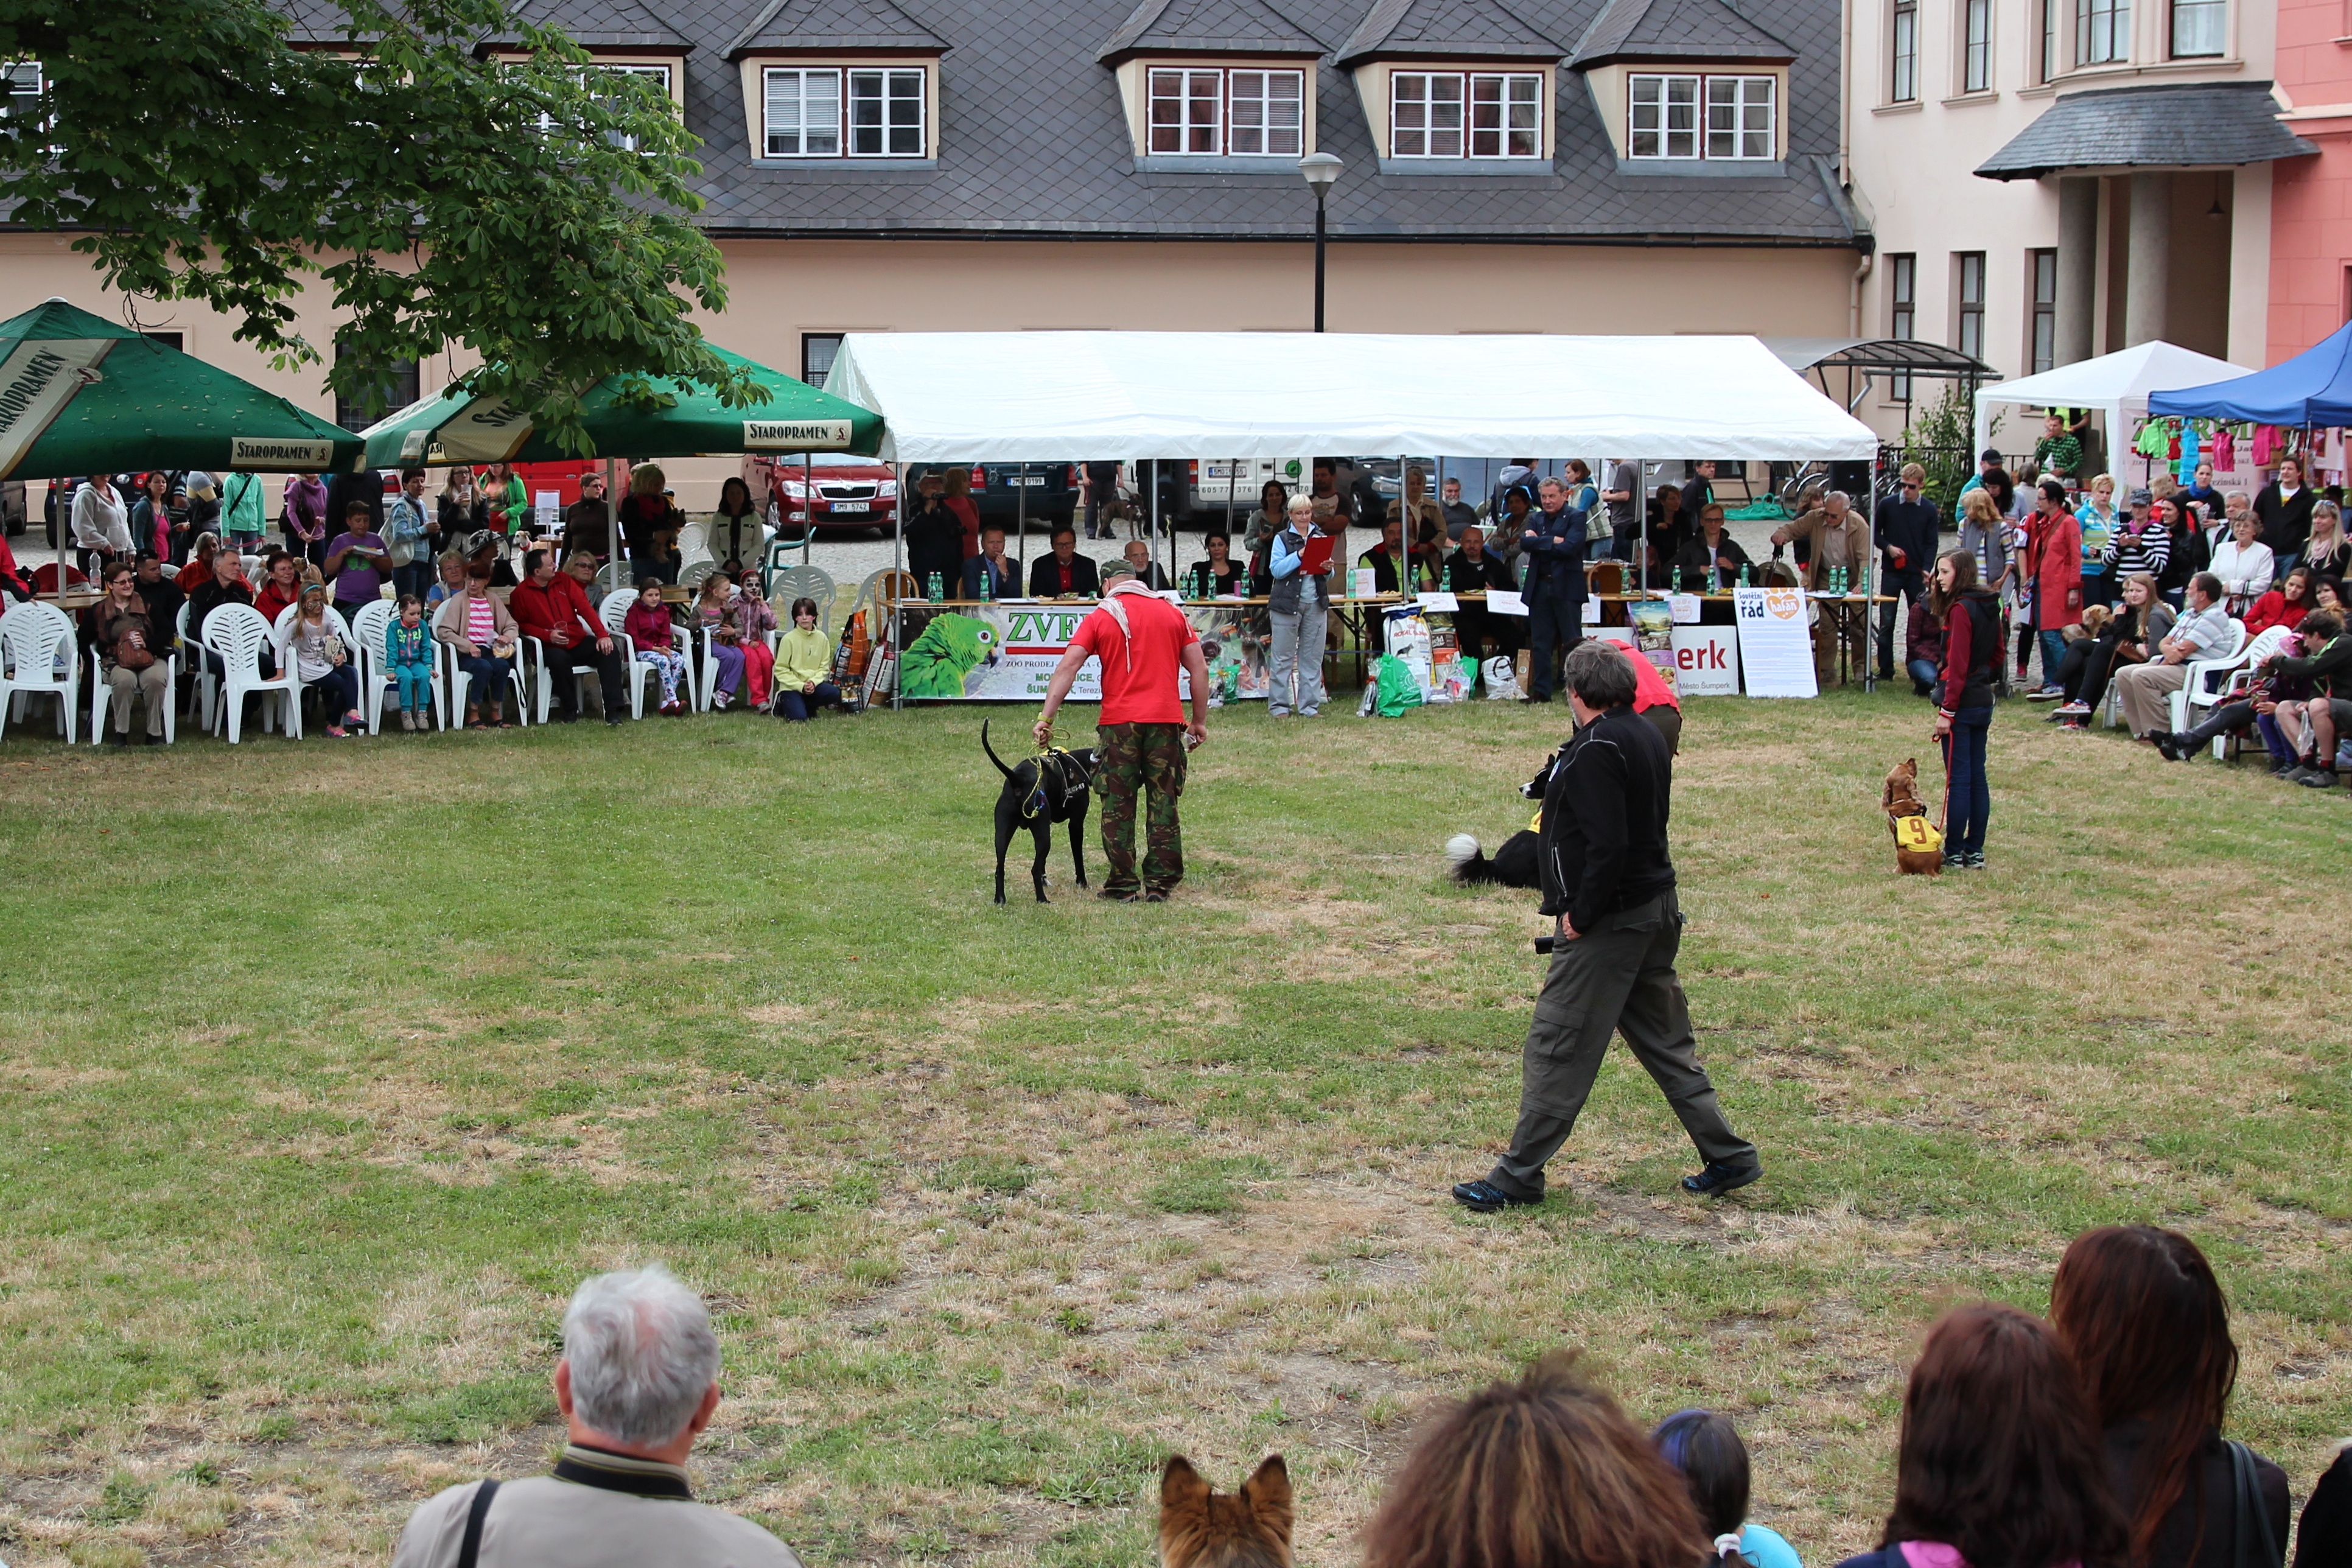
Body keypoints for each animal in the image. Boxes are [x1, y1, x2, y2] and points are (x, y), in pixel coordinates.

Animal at [978, 719, 1096, 903]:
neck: (1079, 763)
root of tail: (1018, 779)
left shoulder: (1047, 824)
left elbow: (1043, 865)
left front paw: (1045, 879)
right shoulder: (1076, 824)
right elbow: (1078, 857)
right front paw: (1082, 882)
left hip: (1002, 834)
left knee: (1000, 869)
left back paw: (1000, 899)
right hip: (1043, 836)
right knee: (1033, 869)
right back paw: (1042, 899)